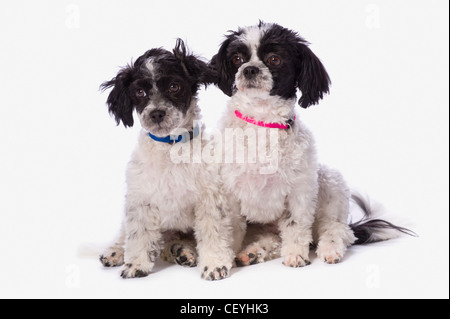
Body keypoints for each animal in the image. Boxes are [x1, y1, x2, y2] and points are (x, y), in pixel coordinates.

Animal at [99, 41, 236, 282]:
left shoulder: (209, 198)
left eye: (174, 87)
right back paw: (115, 252)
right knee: (126, 234)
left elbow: (213, 232)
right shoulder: (141, 200)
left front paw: (214, 264)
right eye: (140, 92)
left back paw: (183, 252)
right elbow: (139, 234)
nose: (156, 113)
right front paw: (136, 263)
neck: (171, 149)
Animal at [209, 21, 414, 268]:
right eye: (237, 59)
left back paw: (329, 248)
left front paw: (296, 255)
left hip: (329, 181)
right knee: (272, 239)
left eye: (274, 59)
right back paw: (253, 252)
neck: (262, 123)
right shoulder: (228, 192)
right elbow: (230, 229)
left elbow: (296, 226)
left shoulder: (299, 191)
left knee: (337, 229)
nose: (250, 69)